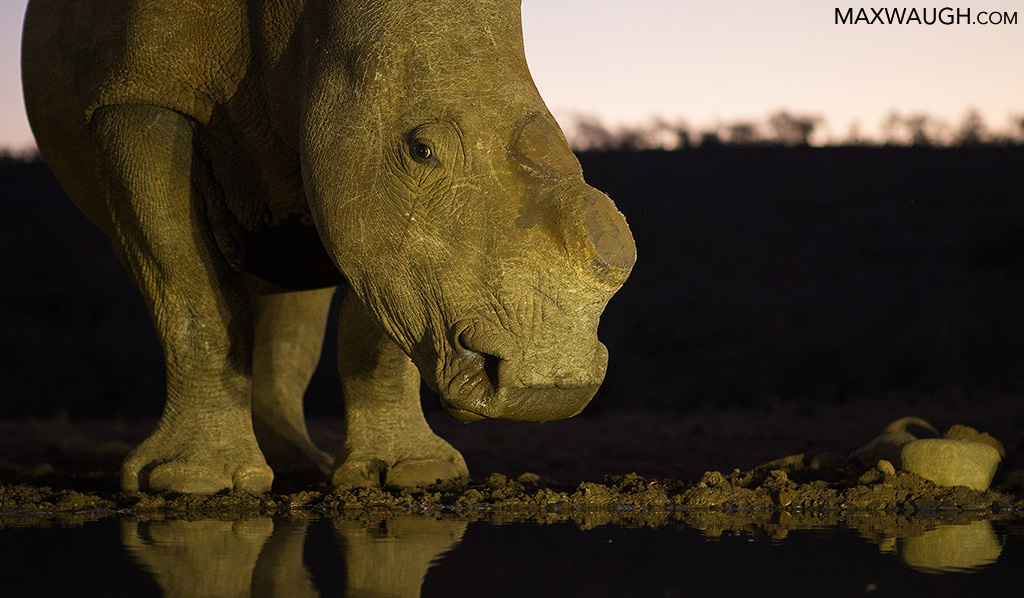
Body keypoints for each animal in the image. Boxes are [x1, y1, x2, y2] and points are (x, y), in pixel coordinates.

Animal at [21, 0, 635, 494]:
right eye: (421, 150)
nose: (551, 389)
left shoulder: (379, 210)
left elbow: (382, 303)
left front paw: (414, 474)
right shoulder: (136, 94)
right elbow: (188, 292)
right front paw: (188, 483)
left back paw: (300, 466)